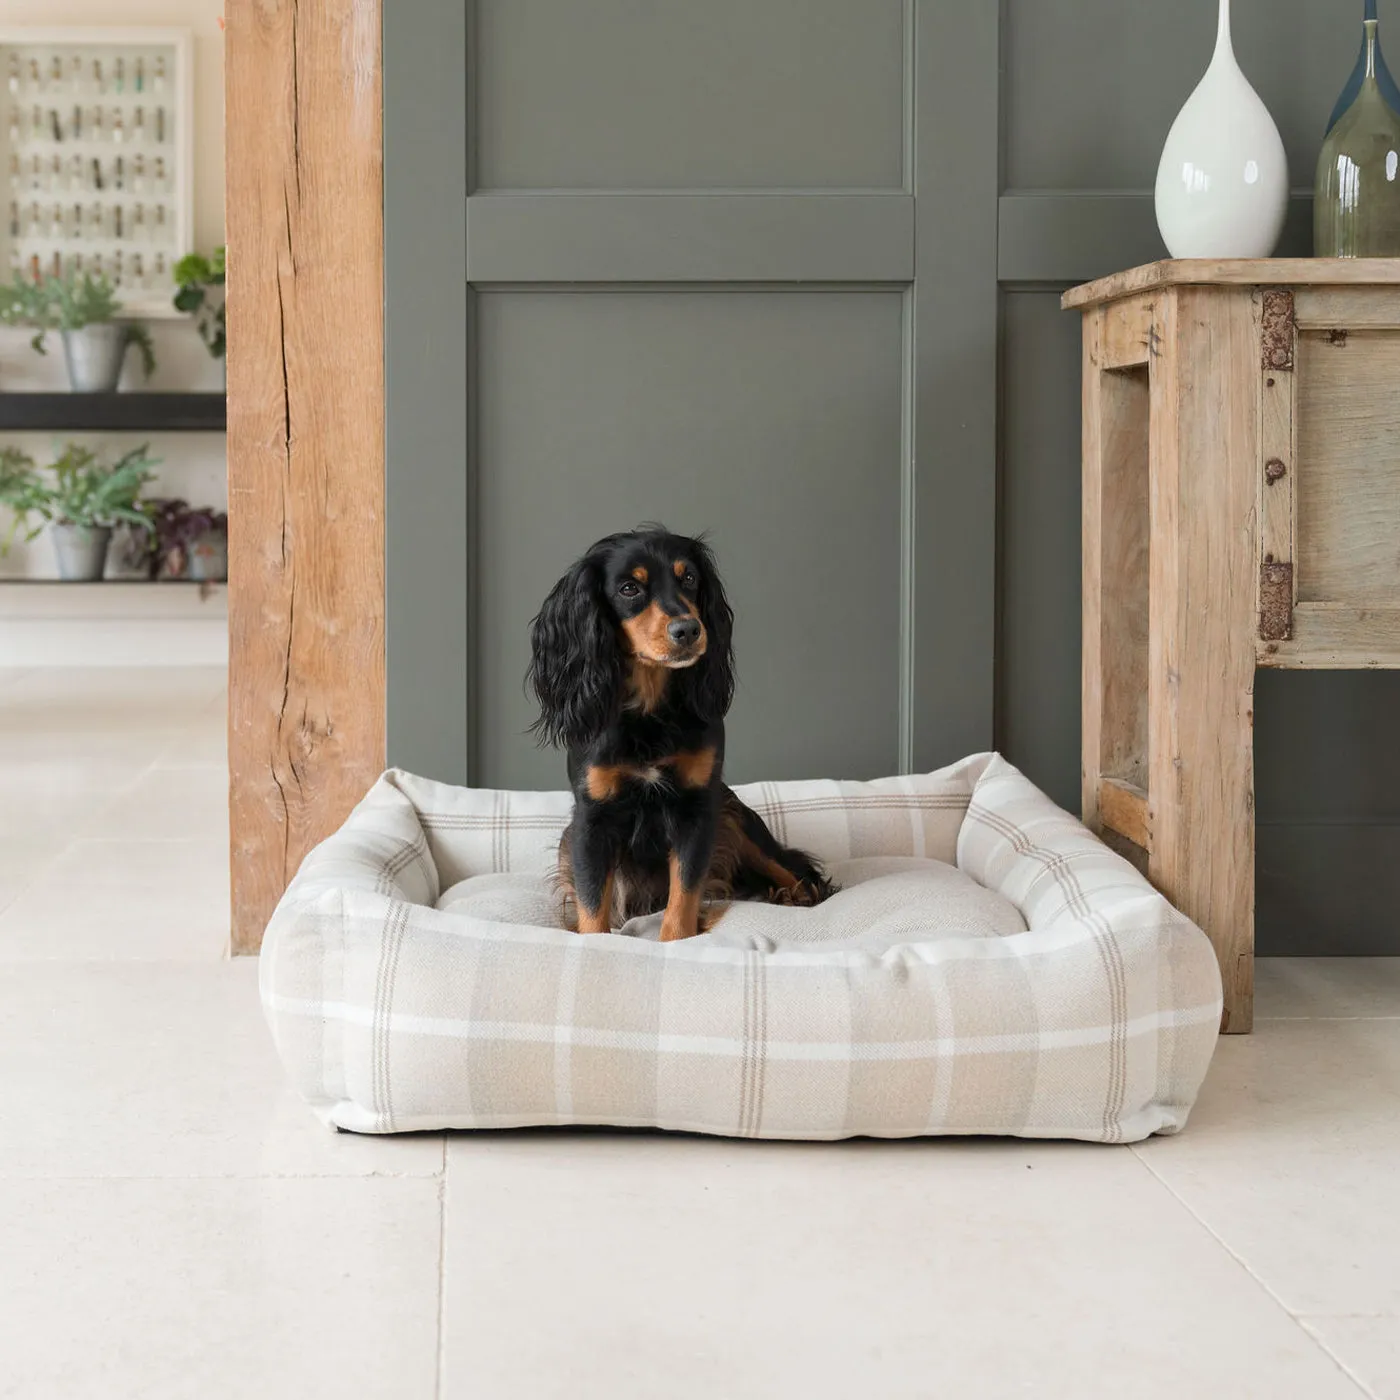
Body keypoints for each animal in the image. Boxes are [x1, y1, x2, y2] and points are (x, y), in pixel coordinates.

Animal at [526, 526, 828, 940]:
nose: (688, 630)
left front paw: (676, 939)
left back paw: (797, 893)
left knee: (797, 869)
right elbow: (592, 901)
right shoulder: (592, 818)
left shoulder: (697, 810)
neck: (650, 710)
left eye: (689, 578)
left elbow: (683, 894)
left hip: (735, 818)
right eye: (629, 589)